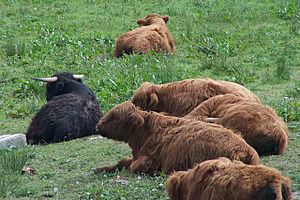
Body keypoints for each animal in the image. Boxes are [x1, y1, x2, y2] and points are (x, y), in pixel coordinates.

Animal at [92, 101, 258, 174]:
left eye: (114, 117)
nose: (97, 126)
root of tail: (247, 149)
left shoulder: (149, 160)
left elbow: (133, 166)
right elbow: (121, 162)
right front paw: (99, 169)